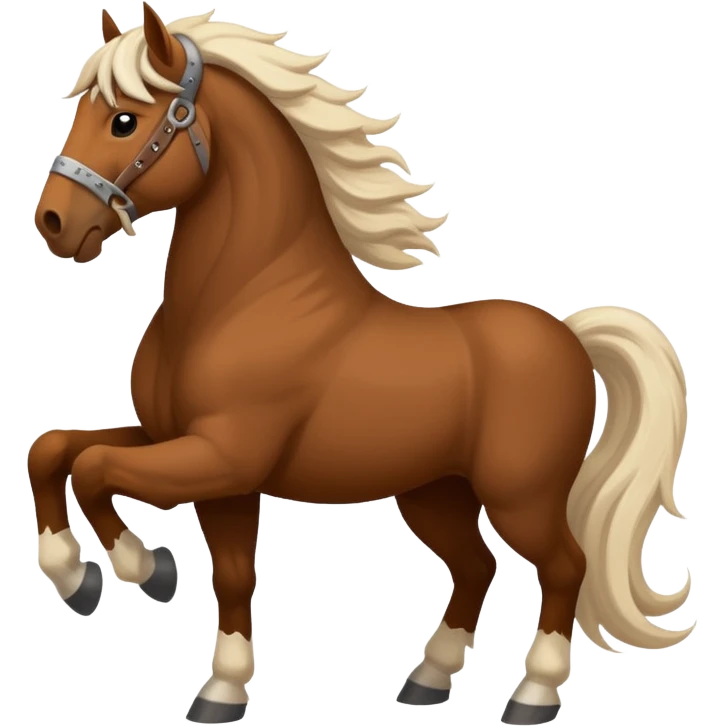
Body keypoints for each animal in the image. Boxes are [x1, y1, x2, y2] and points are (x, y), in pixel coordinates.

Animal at [29, 6, 694, 725]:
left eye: (124, 119)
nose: (54, 222)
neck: (244, 299)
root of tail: (568, 335)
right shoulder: (187, 452)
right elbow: (59, 453)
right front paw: (205, 677)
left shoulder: (222, 457)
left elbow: (95, 469)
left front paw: (144, 572)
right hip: (434, 493)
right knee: (476, 567)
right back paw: (427, 681)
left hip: (522, 496)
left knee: (564, 566)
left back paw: (532, 696)